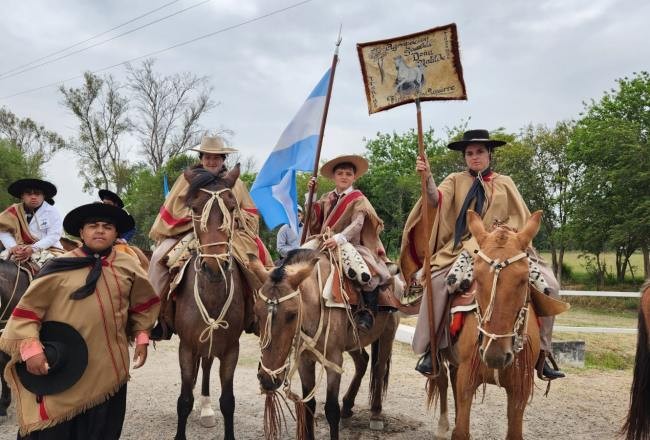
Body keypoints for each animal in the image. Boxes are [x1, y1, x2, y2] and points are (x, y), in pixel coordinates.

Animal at [172, 166, 248, 440]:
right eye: (195, 209)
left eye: (232, 207)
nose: (214, 267)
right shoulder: (186, 347)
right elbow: (184, 400)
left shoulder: (231, 349)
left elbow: (228, 401)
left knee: (205, 367)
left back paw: (205, 407)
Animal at [248, 248, 400, 440]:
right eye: (256, 311)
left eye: (292, 314)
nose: (267, 379)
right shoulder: (304, 361)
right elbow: (308, 405)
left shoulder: (334, 362)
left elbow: (331, 410)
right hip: (354, 342)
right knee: (362, 362)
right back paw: (347, 407)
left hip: (388, 334)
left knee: (379, 369)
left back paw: (376, 413)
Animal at [426, 211, 568, 440]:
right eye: (477, 277)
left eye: (524, 279)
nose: (495, 356)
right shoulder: (467, 379)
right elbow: (461, 430)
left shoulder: (520, 388)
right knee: (442, 380)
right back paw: (442, 425)